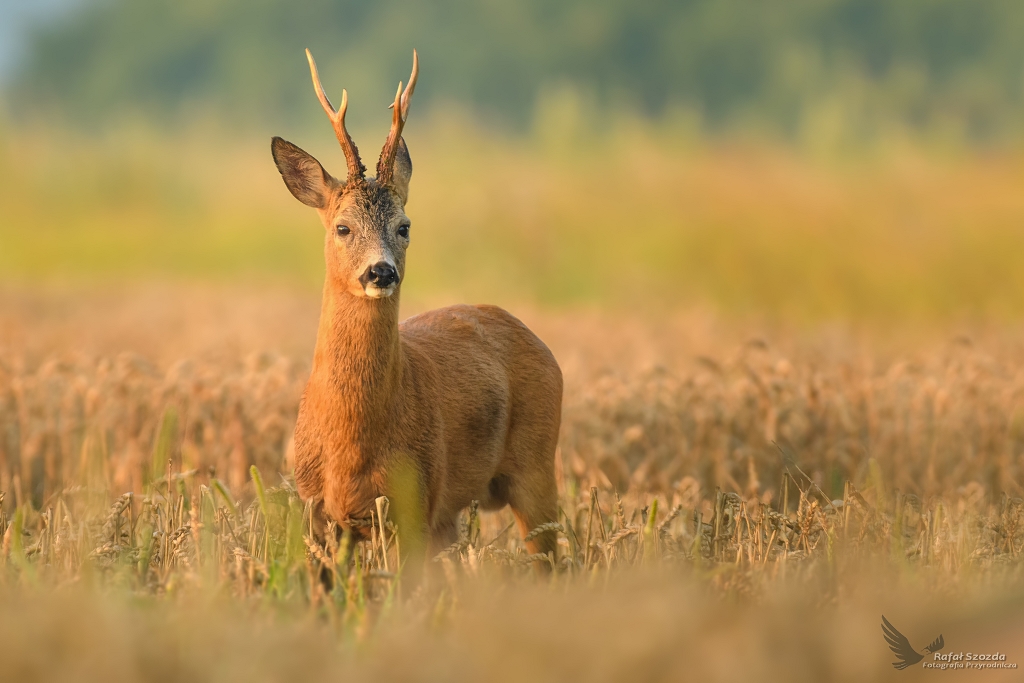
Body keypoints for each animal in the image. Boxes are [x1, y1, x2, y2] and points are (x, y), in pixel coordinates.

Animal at [268, 50, 565, 569]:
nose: (381, 272)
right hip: (452, 514)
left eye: (404, 226)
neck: (350, 445)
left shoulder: (413, 503)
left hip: (536, 464)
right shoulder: (316, 512)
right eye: (342, 227)